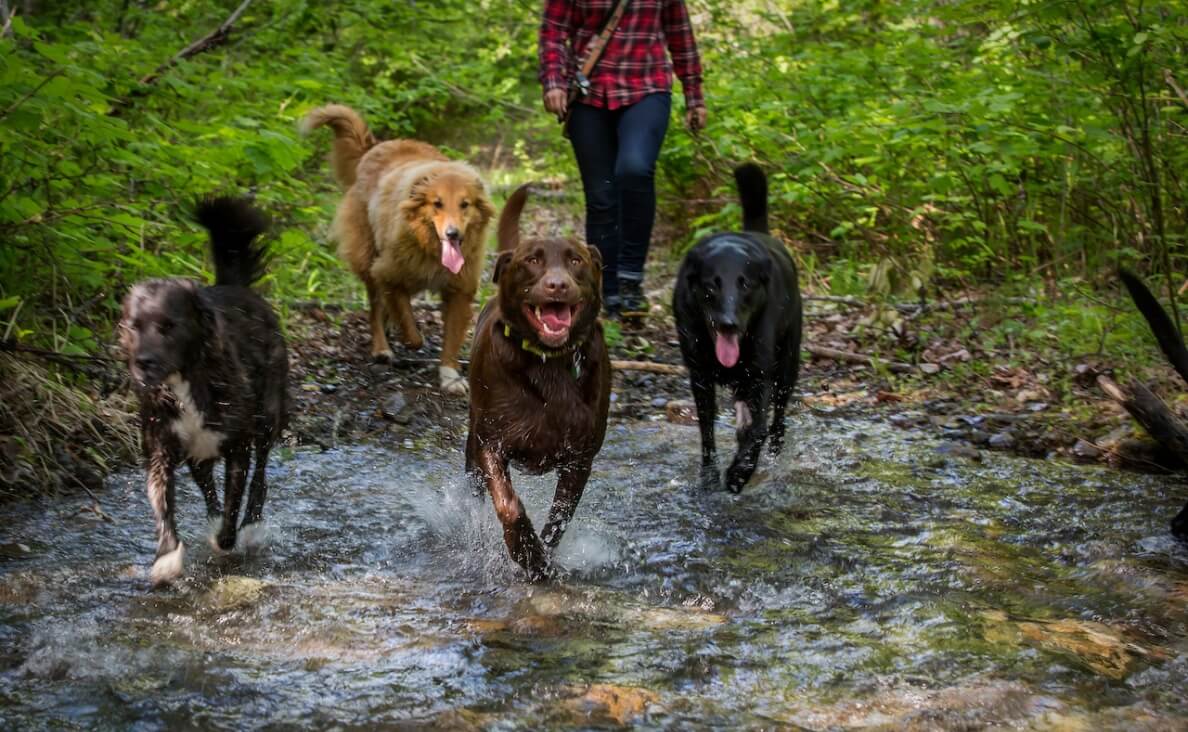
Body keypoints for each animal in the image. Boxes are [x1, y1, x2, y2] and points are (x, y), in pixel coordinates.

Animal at [120, 197, 289, 587]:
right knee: (207, 485)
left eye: (169, 326)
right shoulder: (162, 449)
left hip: (267, 417)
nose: (142, 363)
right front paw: (167, 558)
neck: (185, 381)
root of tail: (236, 287)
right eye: (134, 326)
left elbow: (234, 500)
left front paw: (227, 540)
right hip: (199, 453)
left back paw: (250, 525)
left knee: (260, 478)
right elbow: (164, 506)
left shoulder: (237, 446)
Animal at [306, 104, 496, 394]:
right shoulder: (388, 272)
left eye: (465, 204)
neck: (429, 247)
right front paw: (409, 337)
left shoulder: (459, 288)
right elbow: (409, 326)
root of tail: (373, 148)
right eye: (437, 203)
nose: (453, 234)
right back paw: (382, 348)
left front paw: (450, 376)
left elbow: (451, 338)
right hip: (368, 258)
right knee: (375, 307)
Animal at [674, 163, 803, 494]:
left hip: (787, 366)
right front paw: (710, 478)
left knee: (777, 421)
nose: (728, 323)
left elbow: (758, 430)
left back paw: (772, 460)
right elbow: (707, 431)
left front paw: (739, 473)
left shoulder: (760, 376)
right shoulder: (700, 378)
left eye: (745, 284)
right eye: (711, 286)